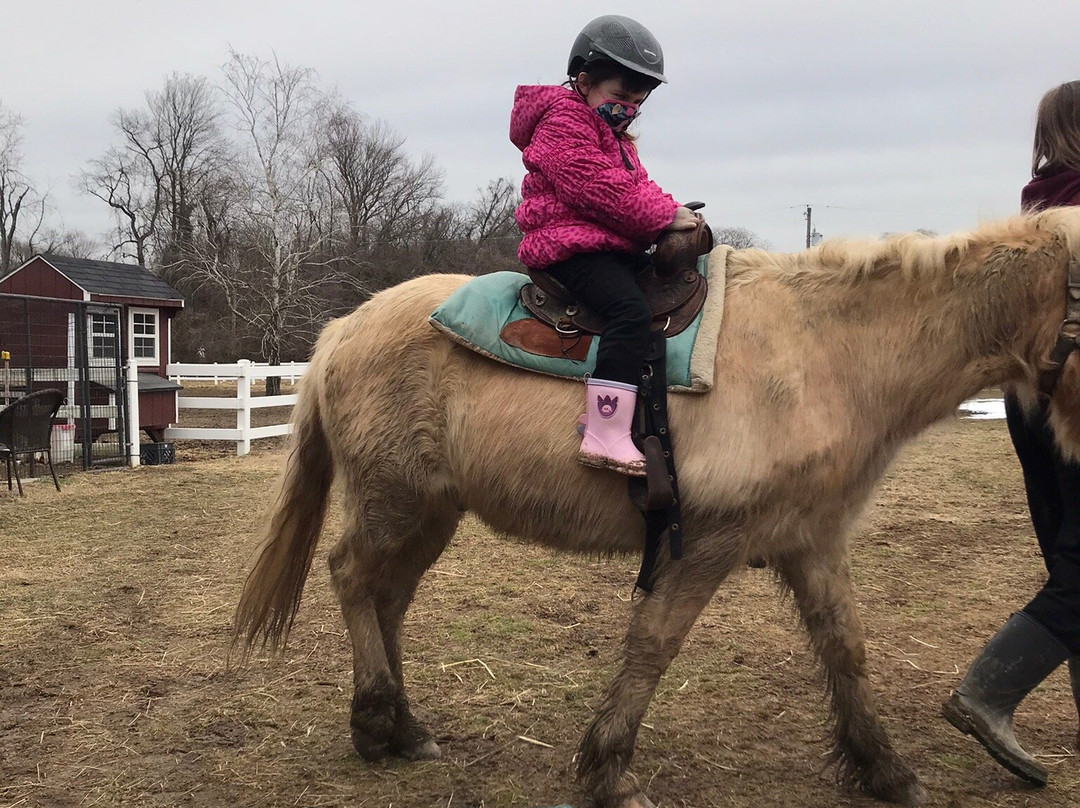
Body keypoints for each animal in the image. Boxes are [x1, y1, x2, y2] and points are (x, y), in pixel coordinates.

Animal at [232, 209, 1080, 808]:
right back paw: (377, 720)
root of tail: (343, 330)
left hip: (430, 512)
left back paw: (405, 728)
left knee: (389, 599)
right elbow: (654, 645)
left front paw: (885, 770)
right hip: (394, 501)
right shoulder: (709, 543)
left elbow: (846, 648)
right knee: (352, 579)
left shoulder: (811, 540)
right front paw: (609, 772)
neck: (822, 351)